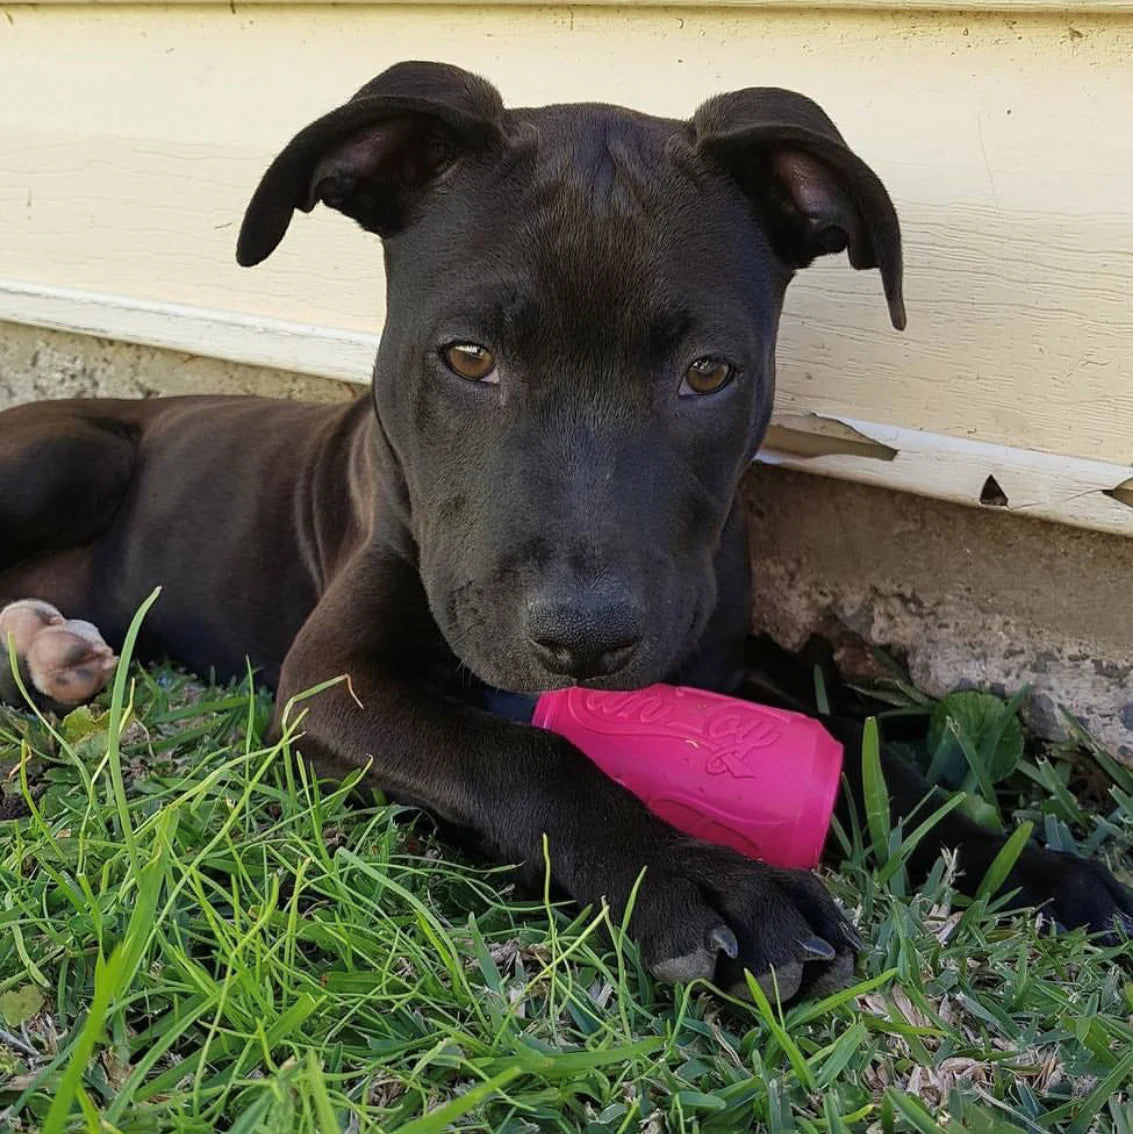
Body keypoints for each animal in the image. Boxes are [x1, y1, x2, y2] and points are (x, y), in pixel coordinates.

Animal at [0, 64, 1129, 1002]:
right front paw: (696, 879)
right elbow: (522, 754)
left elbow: (871, 766)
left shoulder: (715, 666)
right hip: (67, 458)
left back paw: (55, 649)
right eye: (466, 357)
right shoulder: (334, 677)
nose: (583, 641)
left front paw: (1034, 866)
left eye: (708, 373)